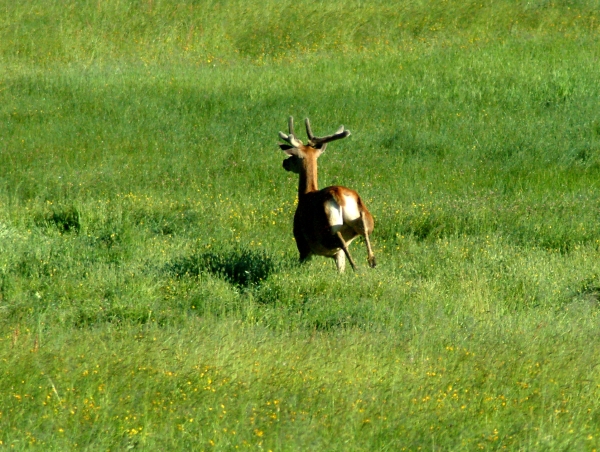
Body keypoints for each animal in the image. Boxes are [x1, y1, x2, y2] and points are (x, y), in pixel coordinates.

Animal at [278, 116, 376, 272]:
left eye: (293, 157)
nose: (284, 162)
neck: (305, 194)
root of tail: (339, 196)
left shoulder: (302, 243)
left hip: (325, 228)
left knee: (340, 240)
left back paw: (356, 266)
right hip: (365, 218)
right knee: (364, 231)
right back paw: (372, 260)